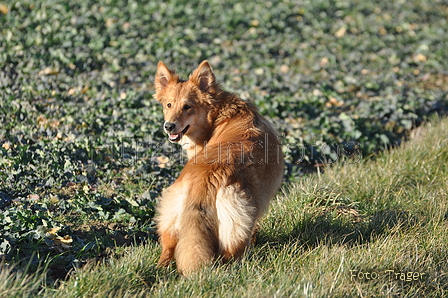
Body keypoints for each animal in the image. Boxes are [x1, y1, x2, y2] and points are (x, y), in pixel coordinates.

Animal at [154, 60, 284, 274]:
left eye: (187, 106)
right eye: (169, 105)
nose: (169, 126)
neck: (220, 115)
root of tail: (205, 178)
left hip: (171, 219)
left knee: (167, 251)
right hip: (240, 221)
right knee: (230, 257)